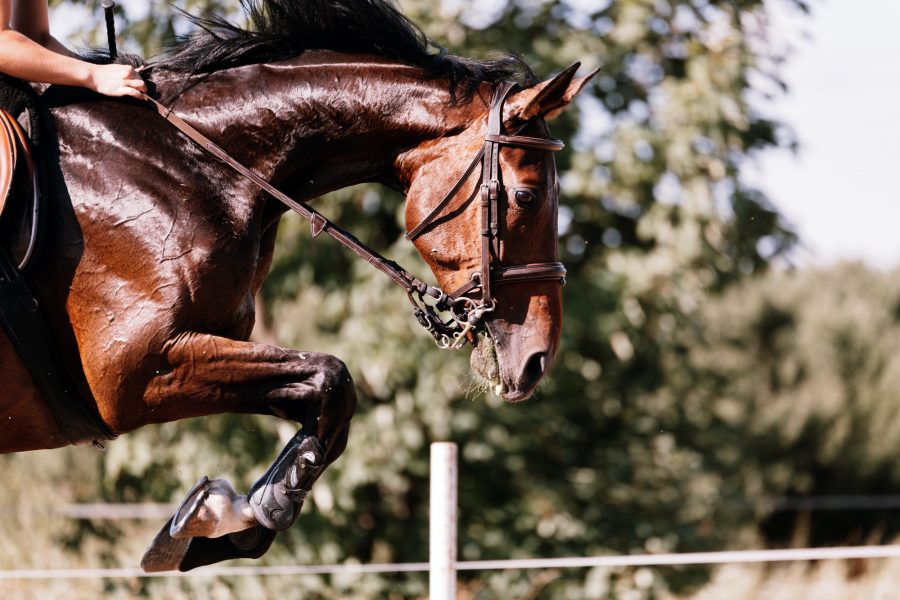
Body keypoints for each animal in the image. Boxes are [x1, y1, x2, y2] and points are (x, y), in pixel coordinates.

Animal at [0, 0, 596, 568]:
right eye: (526, 198)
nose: (538, 359)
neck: (186, 160)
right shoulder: (133, 372)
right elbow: (333, 378)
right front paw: (241, 514)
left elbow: (327, 398)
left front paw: (228, 519)